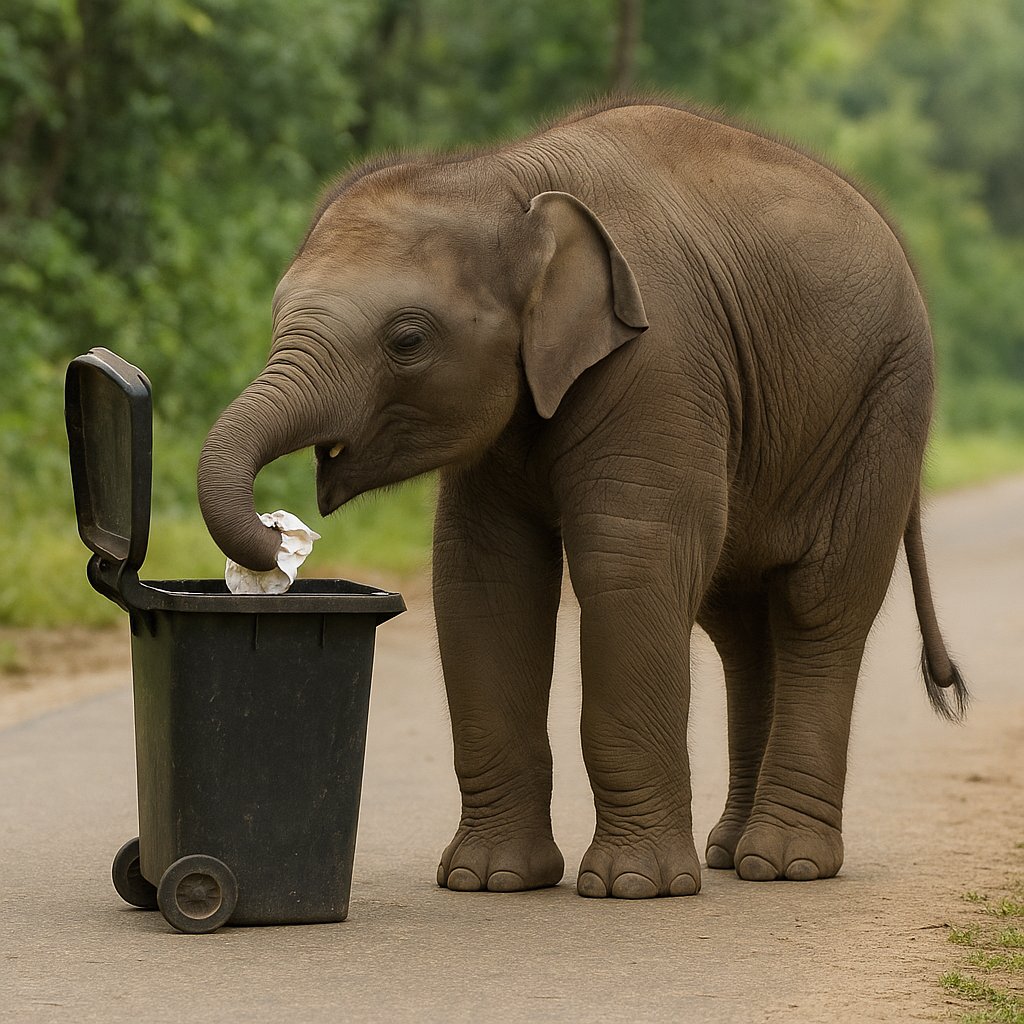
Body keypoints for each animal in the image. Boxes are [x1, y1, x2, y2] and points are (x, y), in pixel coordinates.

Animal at [198, 99, 967, 900]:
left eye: (408, 339)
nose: (277, 537)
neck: (505, 176)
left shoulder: (659, 361)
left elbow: (629, 564)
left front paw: (634, 887)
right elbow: (485, 578)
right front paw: (489, 880)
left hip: (887, 404)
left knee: (821, 605)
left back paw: (785, 864)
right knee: (741, 623)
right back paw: (731, 854)